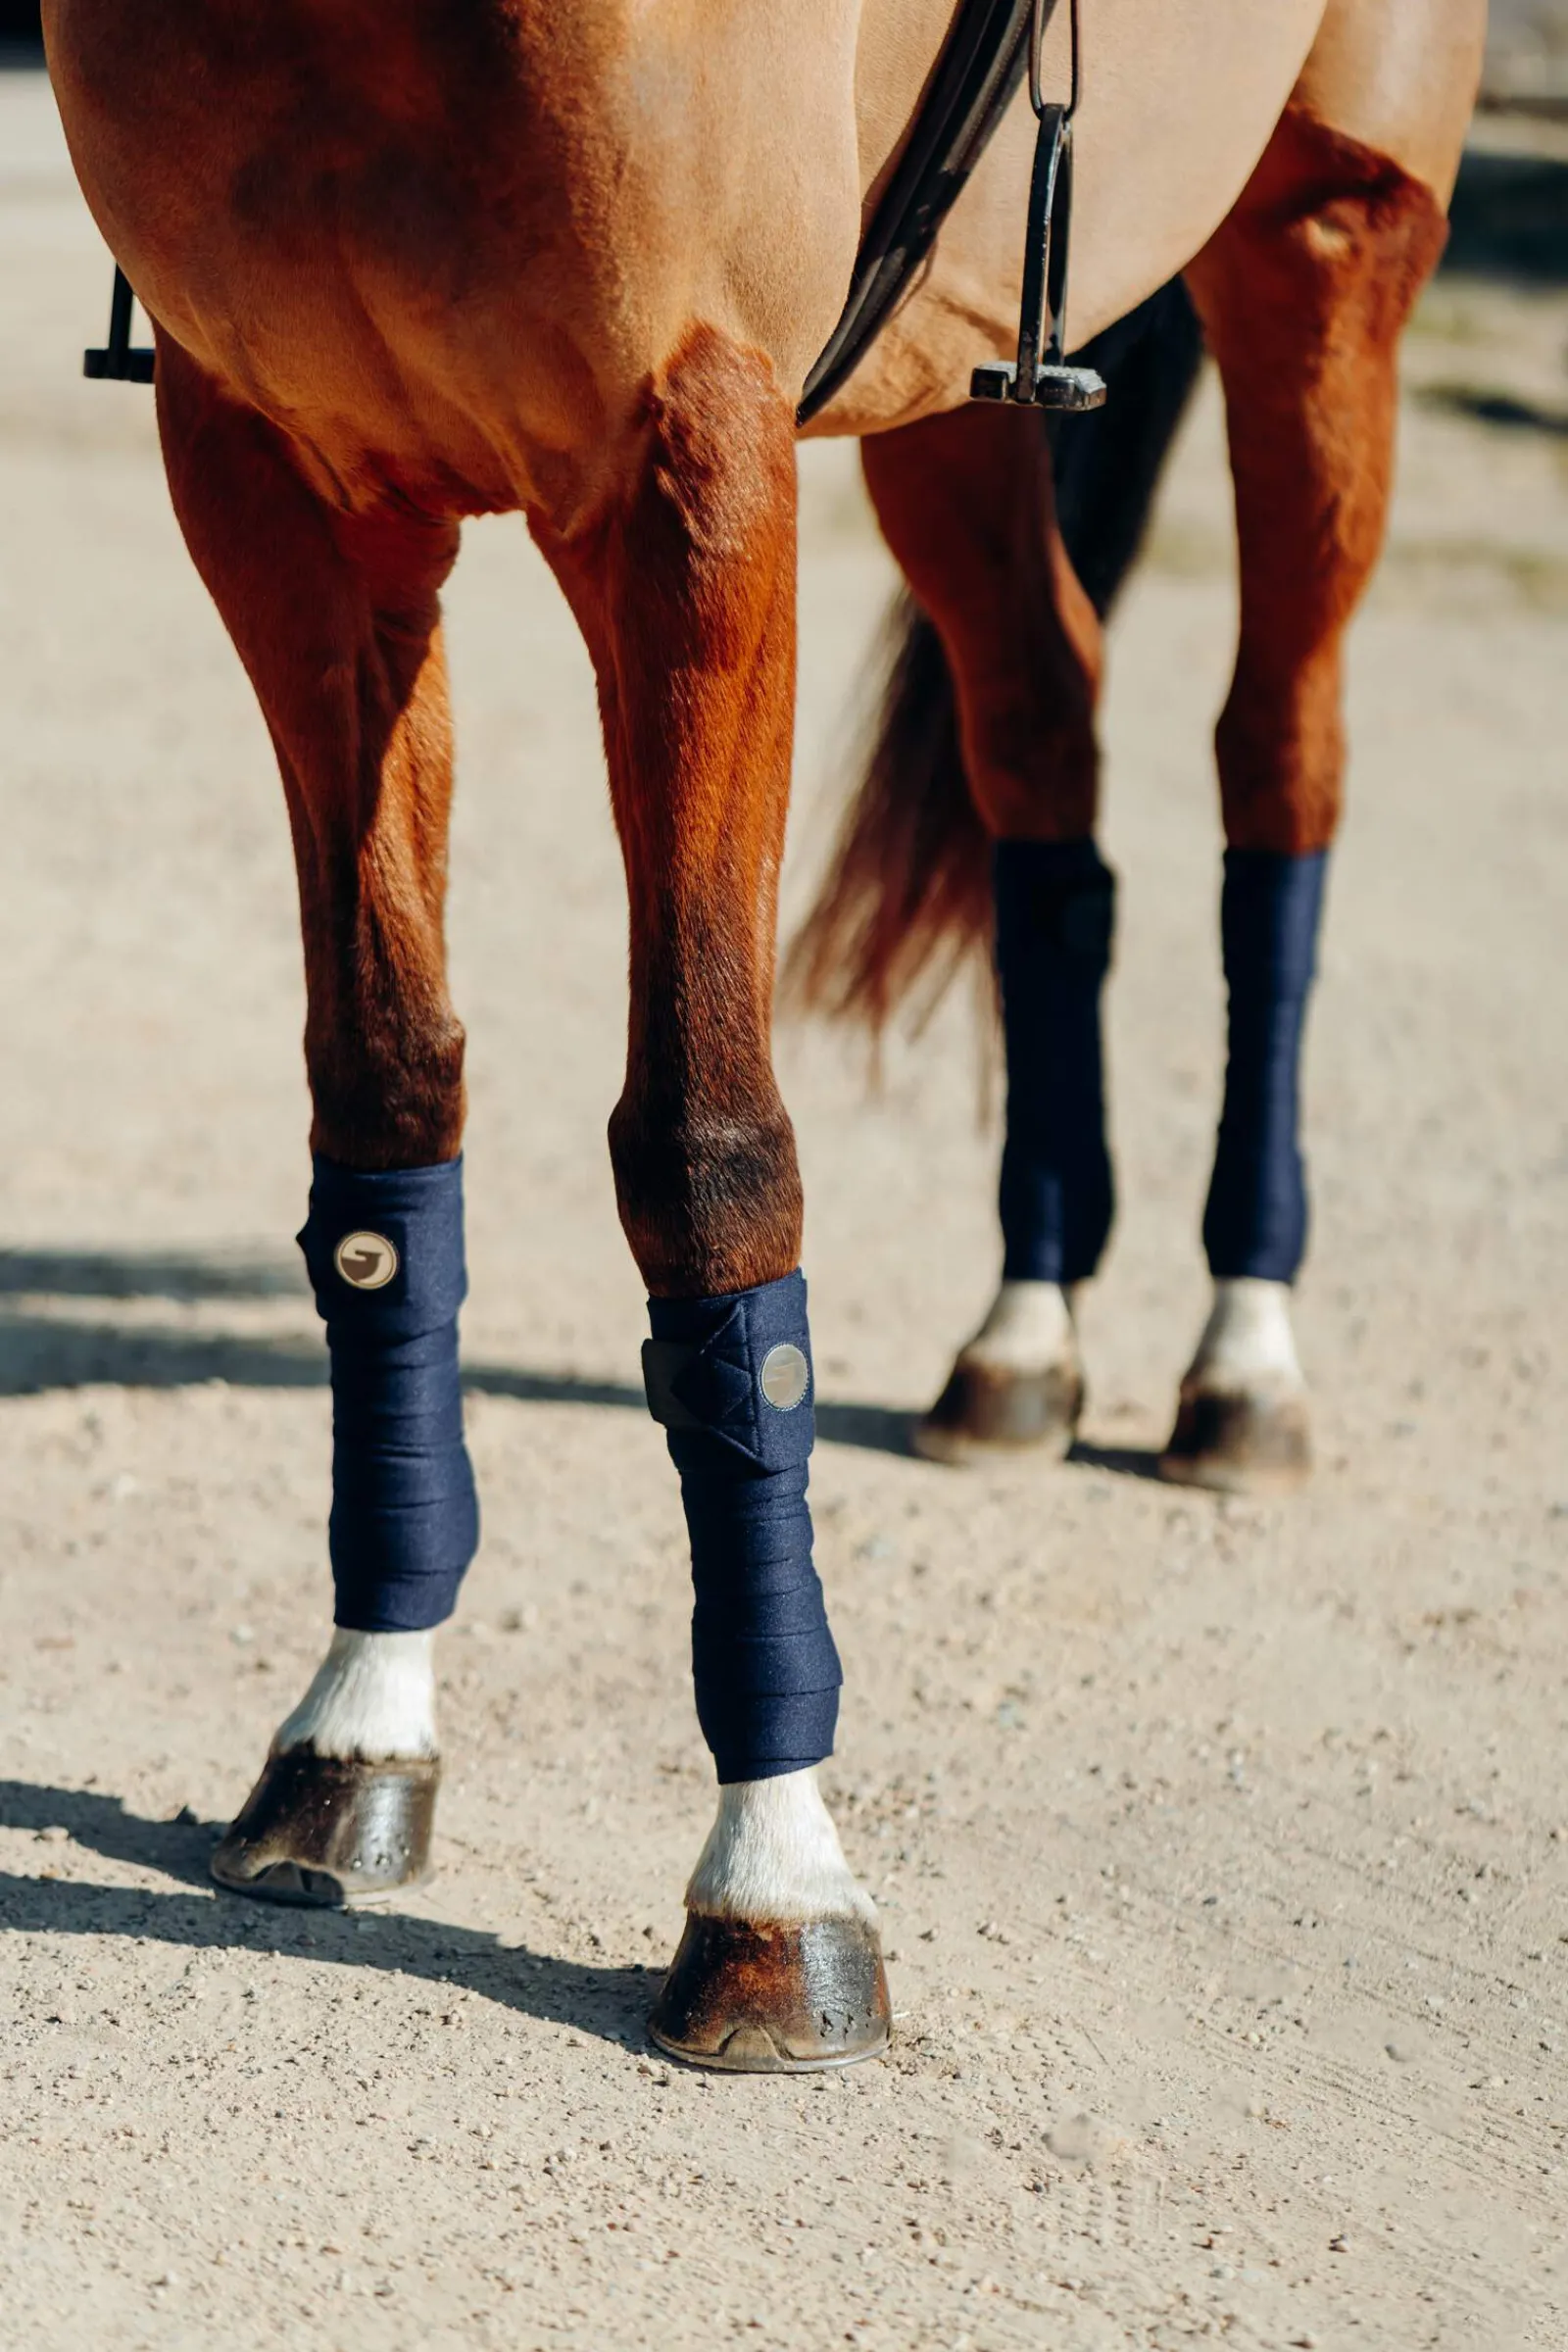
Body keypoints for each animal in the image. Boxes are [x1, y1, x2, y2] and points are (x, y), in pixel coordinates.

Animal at [42, 0, 1485, 2070]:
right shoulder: (279, 485)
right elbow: (383, 1109)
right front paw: (357, 1726)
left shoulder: (688, 476)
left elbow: (707, 1157)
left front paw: (775, 1885)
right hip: (949, 386)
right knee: (1043, 742)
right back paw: (1023, 1339)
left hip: (1328, 244)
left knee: (1275, 772)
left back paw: (1244, 1362)